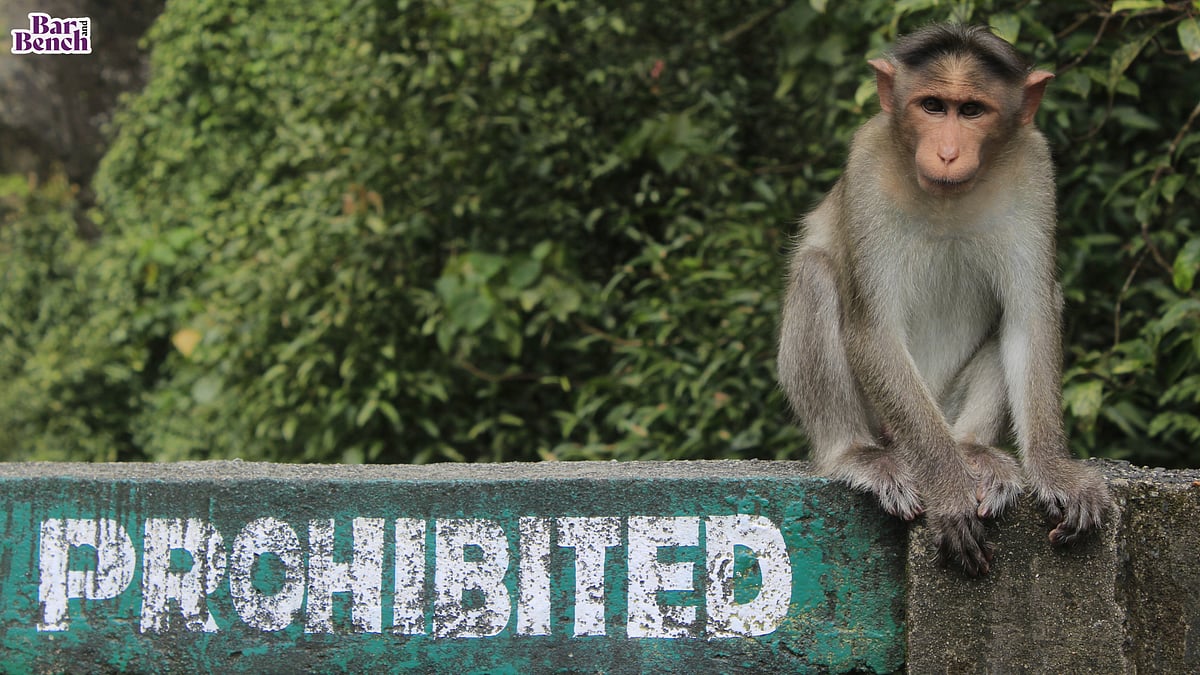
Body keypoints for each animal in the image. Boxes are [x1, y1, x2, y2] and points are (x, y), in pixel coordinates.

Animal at [777, 23, 1111, 576]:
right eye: (932, 106)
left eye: (971, 110)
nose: (948, 153)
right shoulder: (867, 162)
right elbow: (874, 331)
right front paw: (950, 490)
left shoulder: (1033, 169)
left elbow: (1029, 318)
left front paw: (1054, 471)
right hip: (887, 420)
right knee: (816, 275)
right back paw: (858, 454)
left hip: (948, 405)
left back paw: (974, 452)